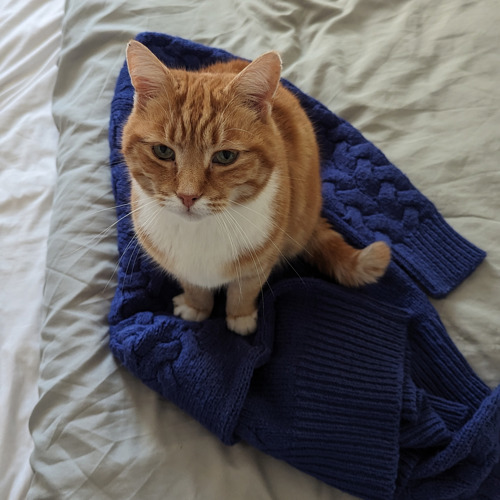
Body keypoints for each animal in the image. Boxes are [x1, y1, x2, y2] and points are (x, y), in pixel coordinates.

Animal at [121, 40, 390, 336]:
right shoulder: (180, 267)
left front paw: (240, 319)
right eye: (163, 151)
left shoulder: (261, 262)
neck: (202, 232)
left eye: (226, 156)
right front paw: (196, 307)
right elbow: (194, 287)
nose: (187, 196)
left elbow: (244, 291)